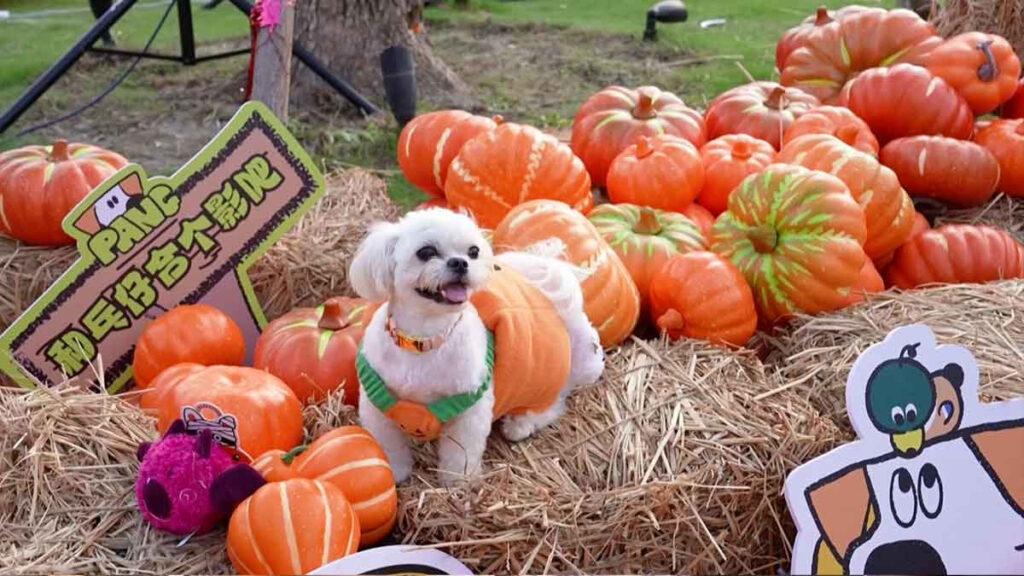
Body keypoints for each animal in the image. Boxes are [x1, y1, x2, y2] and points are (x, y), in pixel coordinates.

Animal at [348, 208, 602, 481]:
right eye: (425, 252)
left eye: (473, 251)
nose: (460, 262)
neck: (424, 340)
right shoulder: (376, 406)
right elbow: (389, 446)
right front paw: (395, 473)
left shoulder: (469, 410)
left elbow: (461, 454)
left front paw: (457, 483)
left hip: (575, 367)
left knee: (554, 402)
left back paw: (520, 424)